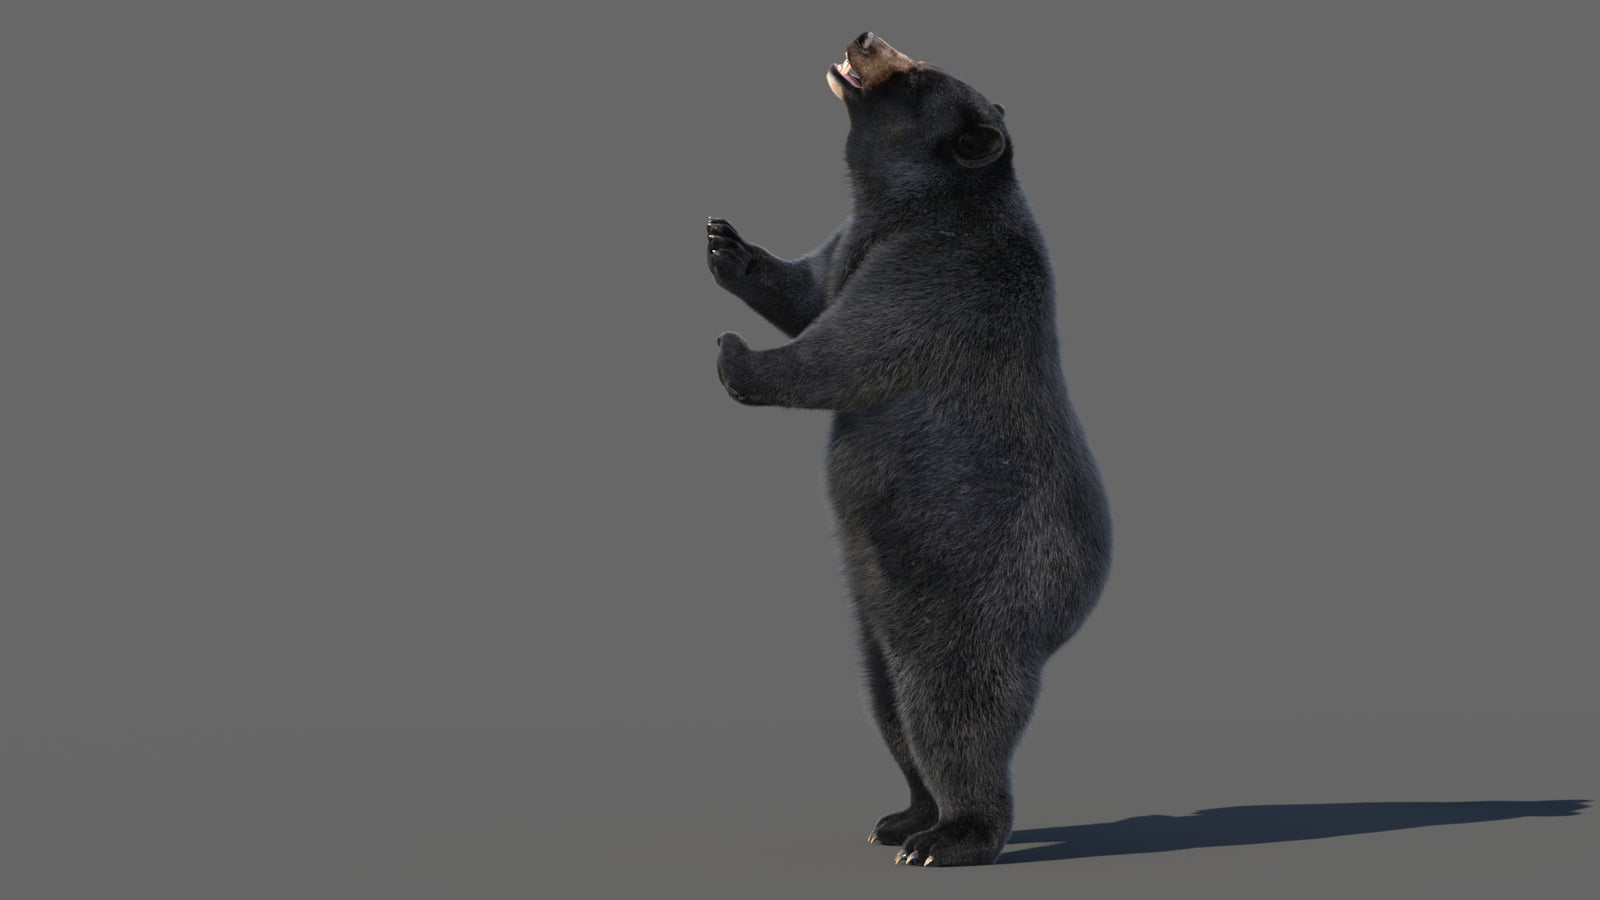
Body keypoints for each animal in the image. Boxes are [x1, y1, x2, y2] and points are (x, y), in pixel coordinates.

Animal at [706, 32, 1112, 868]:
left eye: (918, 71)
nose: (863, 36)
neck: (908, 206)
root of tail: (1072, 611)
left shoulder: (942, 271)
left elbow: (852, 346)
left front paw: (736, 355)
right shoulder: (854, 244)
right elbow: (810, 290)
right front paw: (728, 246)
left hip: (975, 597)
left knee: (950, 709)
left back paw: (952, 835)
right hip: (875, 613)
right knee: (887, 703)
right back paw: (902, 816)